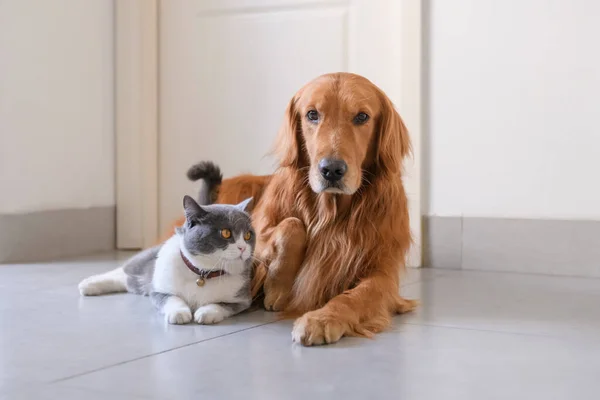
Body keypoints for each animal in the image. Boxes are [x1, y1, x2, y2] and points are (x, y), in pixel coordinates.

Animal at [78, 162, 254, 324]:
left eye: (247, 235)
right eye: (226, 233)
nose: (242, 248)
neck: (203, 274)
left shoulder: (242, 300)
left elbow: (220, 305)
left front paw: (205, 313)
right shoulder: (158, 290)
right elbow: (172, 298)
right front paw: (179, 313)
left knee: (128, 281)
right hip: (148, 260)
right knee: (124, 269)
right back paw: (89, 284)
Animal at [166, 73, 414, 346]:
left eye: (362, 117)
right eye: (312, 114)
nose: (331, 170)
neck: (330, 212)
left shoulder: (382, 274)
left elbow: (356, 297)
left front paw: (322, 318)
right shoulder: (254, 240)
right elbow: (292, 225)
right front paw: (279, 288)